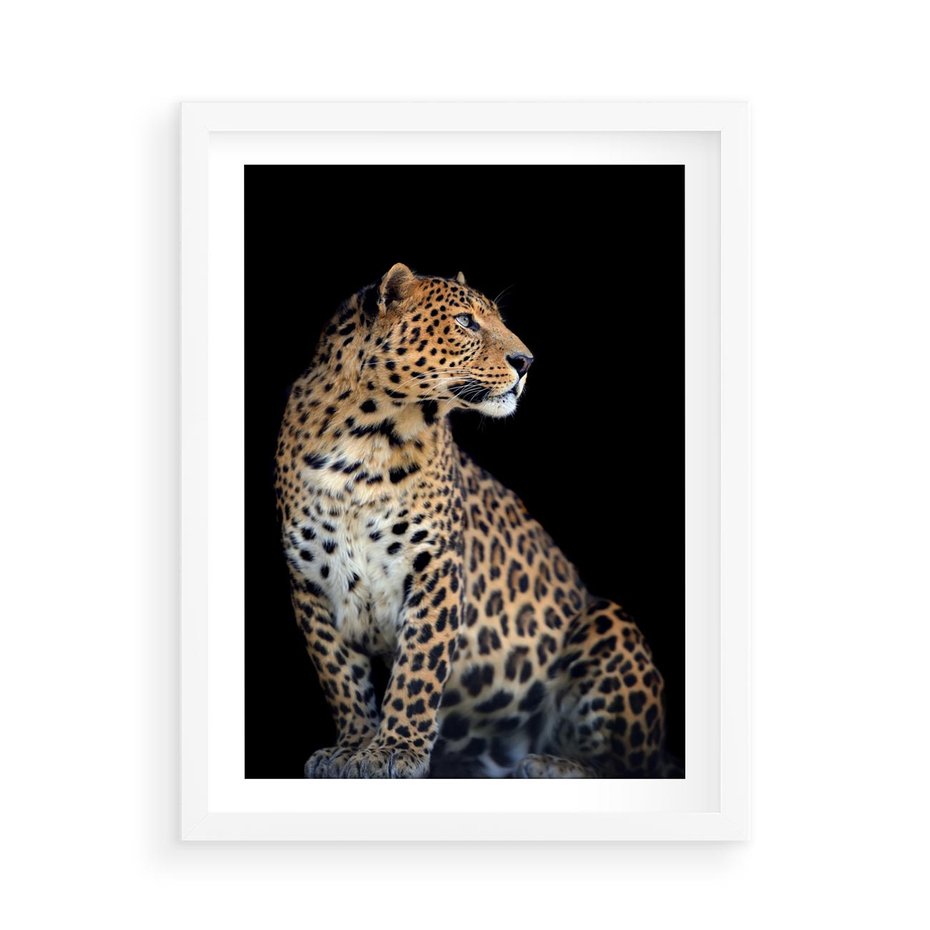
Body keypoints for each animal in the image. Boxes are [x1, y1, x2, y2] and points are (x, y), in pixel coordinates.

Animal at [274, 263, 669, 778]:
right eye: (465, 322)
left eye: (497, 320)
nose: (527, 361)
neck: (365, 440)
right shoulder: (310, 583)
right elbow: (339, 674)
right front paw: (352, 746)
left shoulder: (435, 566)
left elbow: (417, 669)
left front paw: (393, 751)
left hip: (607, 620)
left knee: (634, 763)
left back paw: (553, 764)